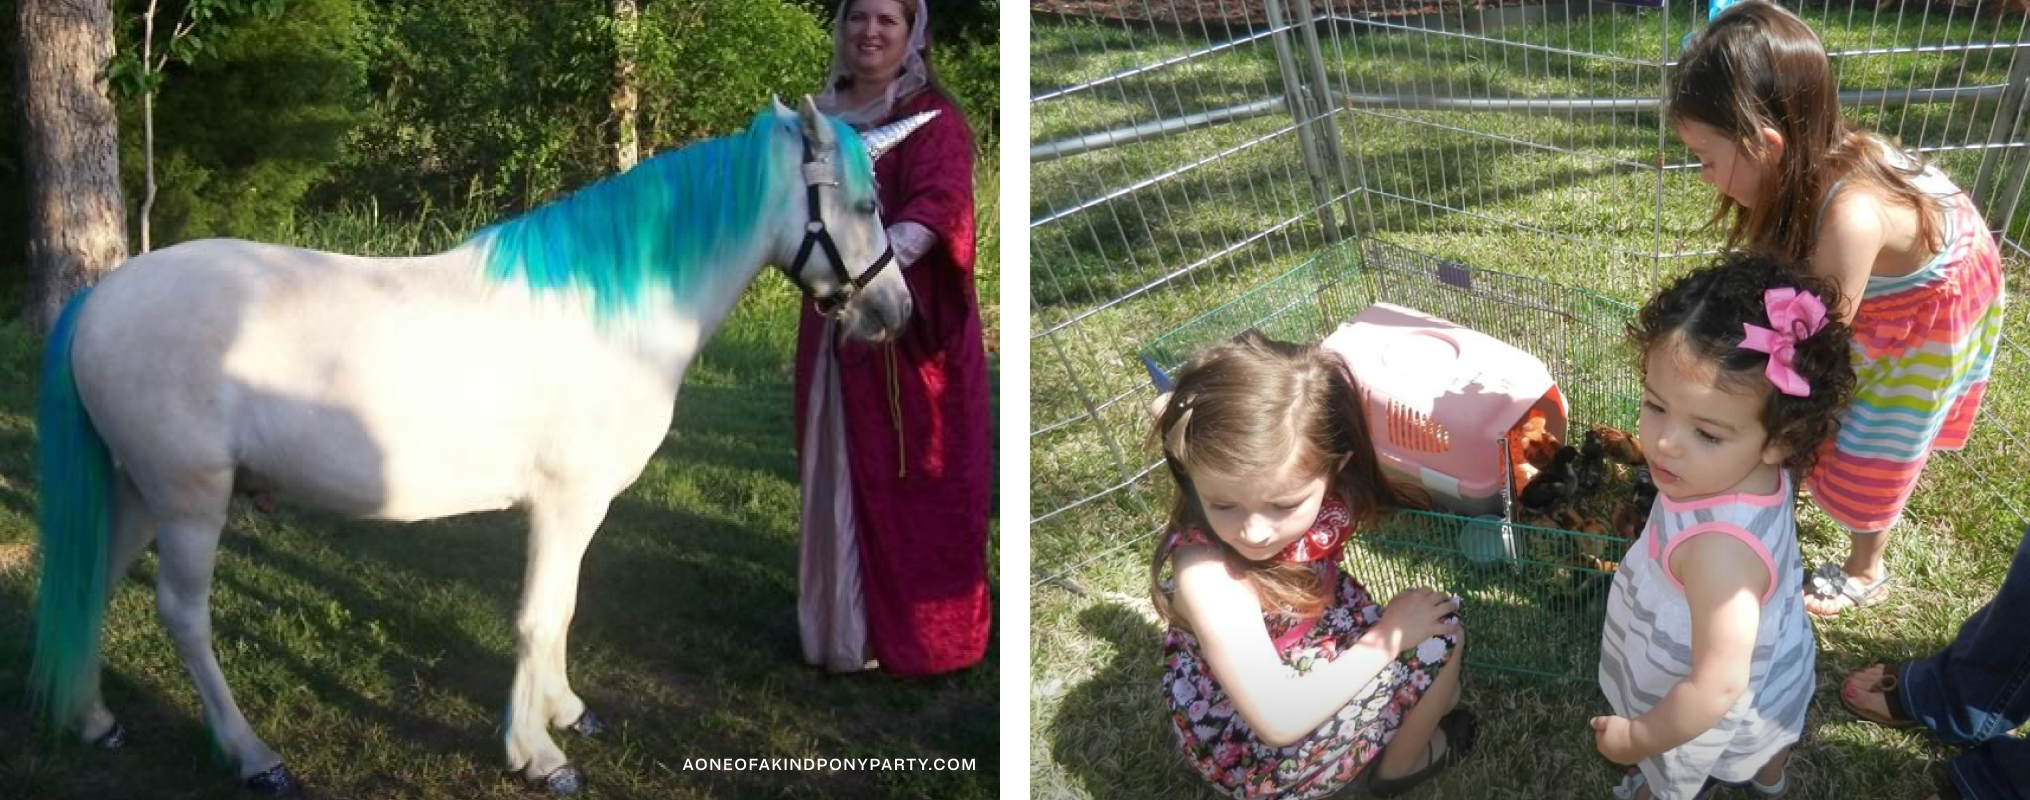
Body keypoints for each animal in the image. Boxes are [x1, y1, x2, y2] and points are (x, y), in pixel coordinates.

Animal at [31, 95, 933, 791]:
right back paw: (252, 755)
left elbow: (563, 609)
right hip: (190, 502)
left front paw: (565, 713)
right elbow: (540, 615)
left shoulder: (578, 511)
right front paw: (537, 754)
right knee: (184, 616)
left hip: (140, 492)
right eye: (864, 207)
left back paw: (91, 717)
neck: (614, 313)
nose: (895, 313)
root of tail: (102, 297)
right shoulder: (567, 503)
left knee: (94, 579)